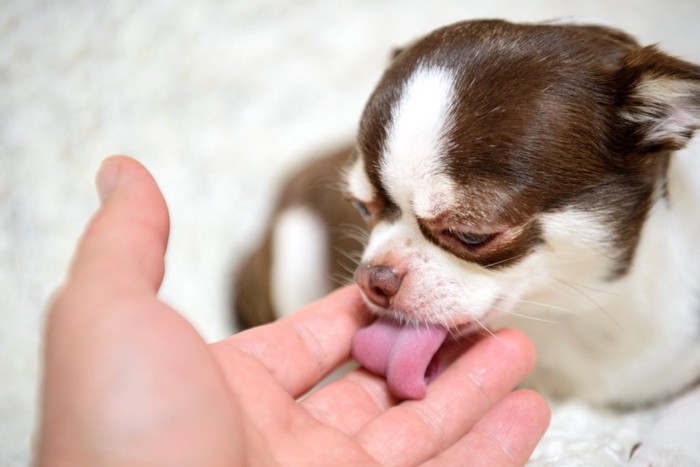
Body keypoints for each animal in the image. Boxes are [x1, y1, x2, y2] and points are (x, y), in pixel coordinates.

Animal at [235, 18, 700, 464]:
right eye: (362, 209)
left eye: (471, 235)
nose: (375, 277)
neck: (572, 311)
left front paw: (666, 451)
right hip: (292, 246)